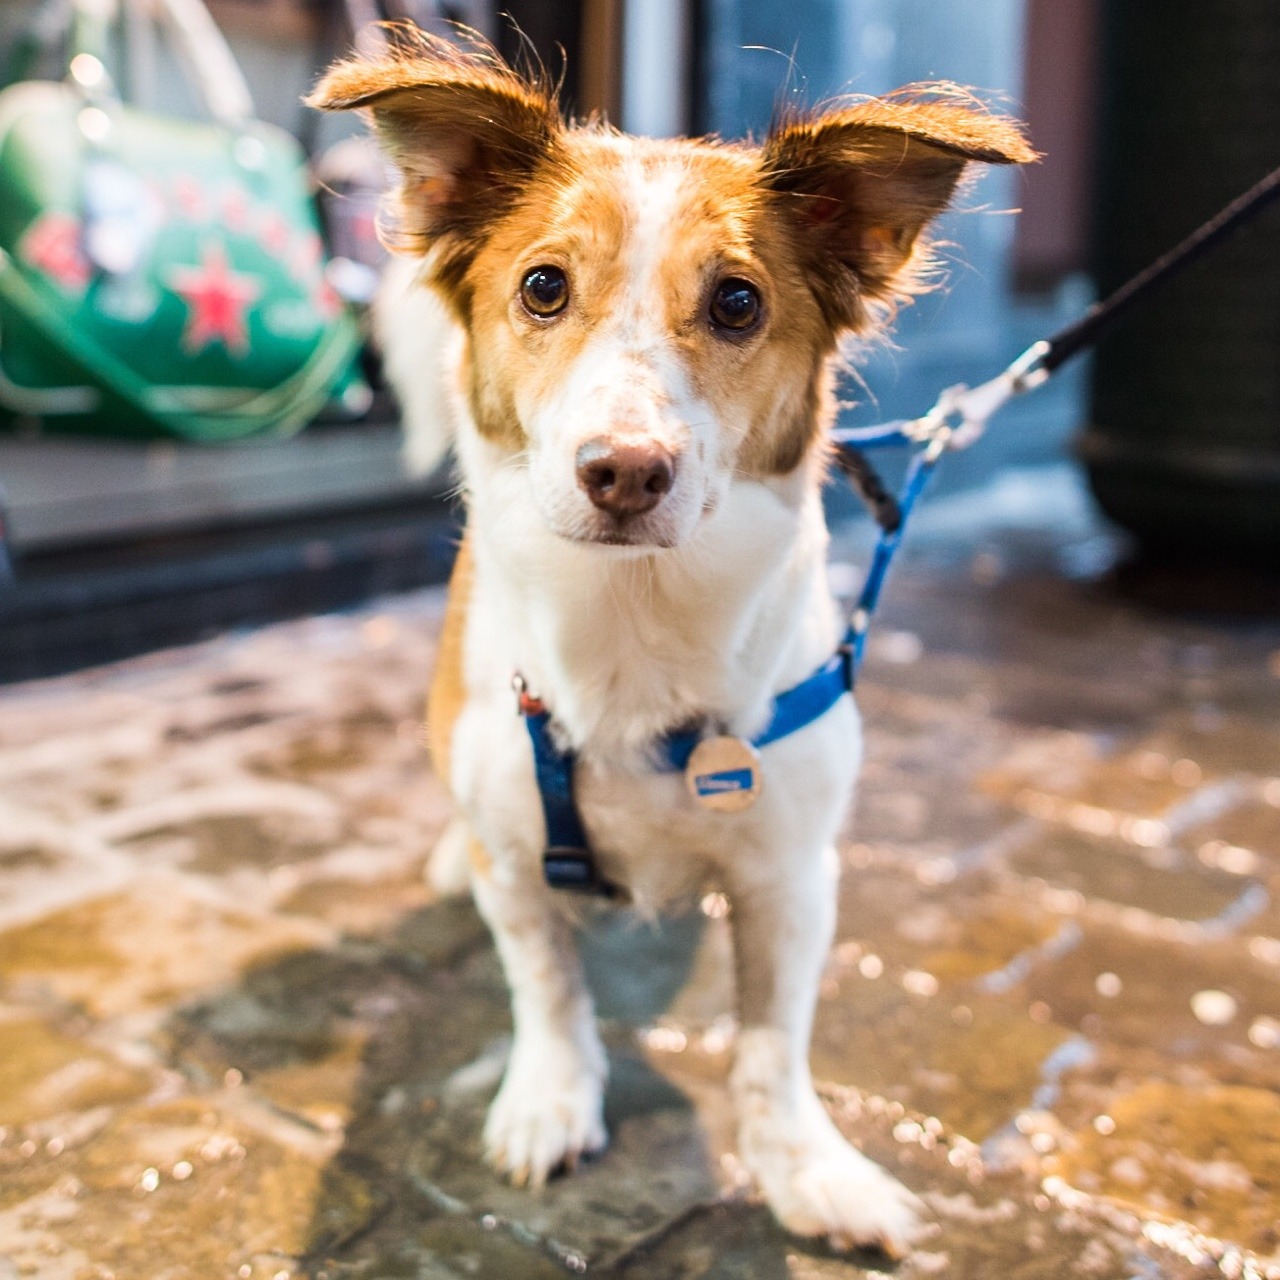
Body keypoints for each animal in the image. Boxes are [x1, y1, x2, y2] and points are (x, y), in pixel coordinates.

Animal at [312, 35, 1039, 1254]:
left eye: (737, 301)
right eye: (542, 287)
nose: (625, 470)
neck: (633, 622)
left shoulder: (791, 875)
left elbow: (771, 1046)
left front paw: (806, 1167)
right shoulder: (515, 861)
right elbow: (548, 987)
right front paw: (550, 1099)